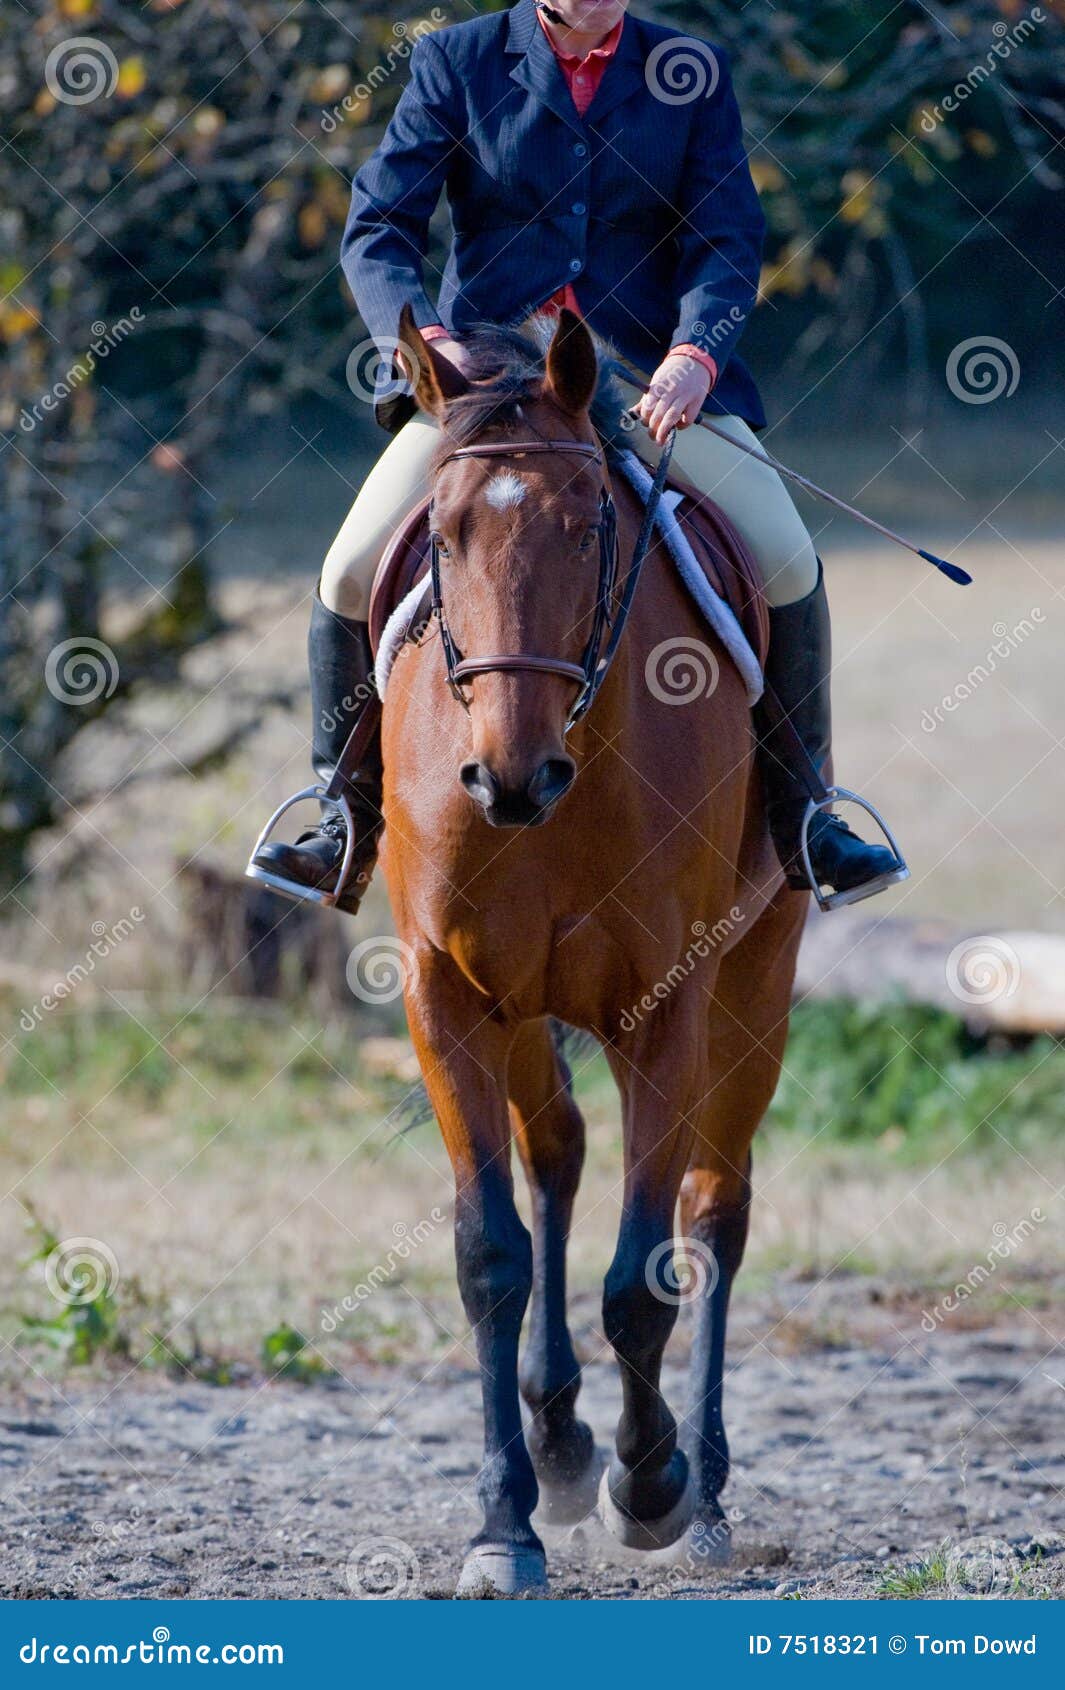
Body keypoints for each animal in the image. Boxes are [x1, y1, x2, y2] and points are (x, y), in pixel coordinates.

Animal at [378, 304, 807, 1595]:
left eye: (585, 527)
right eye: (445, 537)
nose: (511, 778)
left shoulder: (666, 1006)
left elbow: (642, 1277)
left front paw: (651, 1482)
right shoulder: (449, 995)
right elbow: (491, 1254)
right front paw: (504, 1523)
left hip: (755, 984)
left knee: (713, 1209)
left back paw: (700, 1491)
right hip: (526, 1011)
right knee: (558, 1151)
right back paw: (561, 1438)